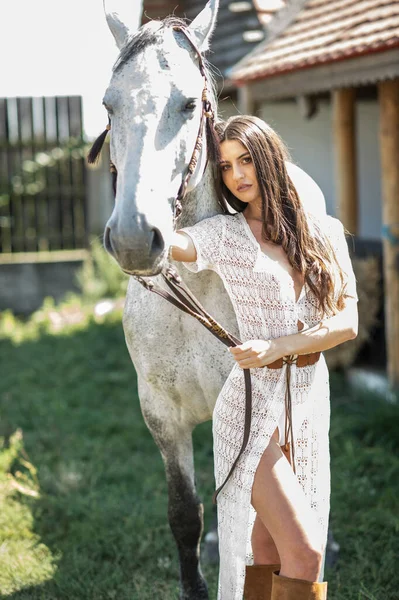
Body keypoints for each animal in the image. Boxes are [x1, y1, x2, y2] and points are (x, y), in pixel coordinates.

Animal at [100, 2, 324, 596]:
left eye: (189, 103)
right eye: (109, 104)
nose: (135, 237)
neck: (197, 286)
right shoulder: (162, 416)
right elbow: (186, 513)